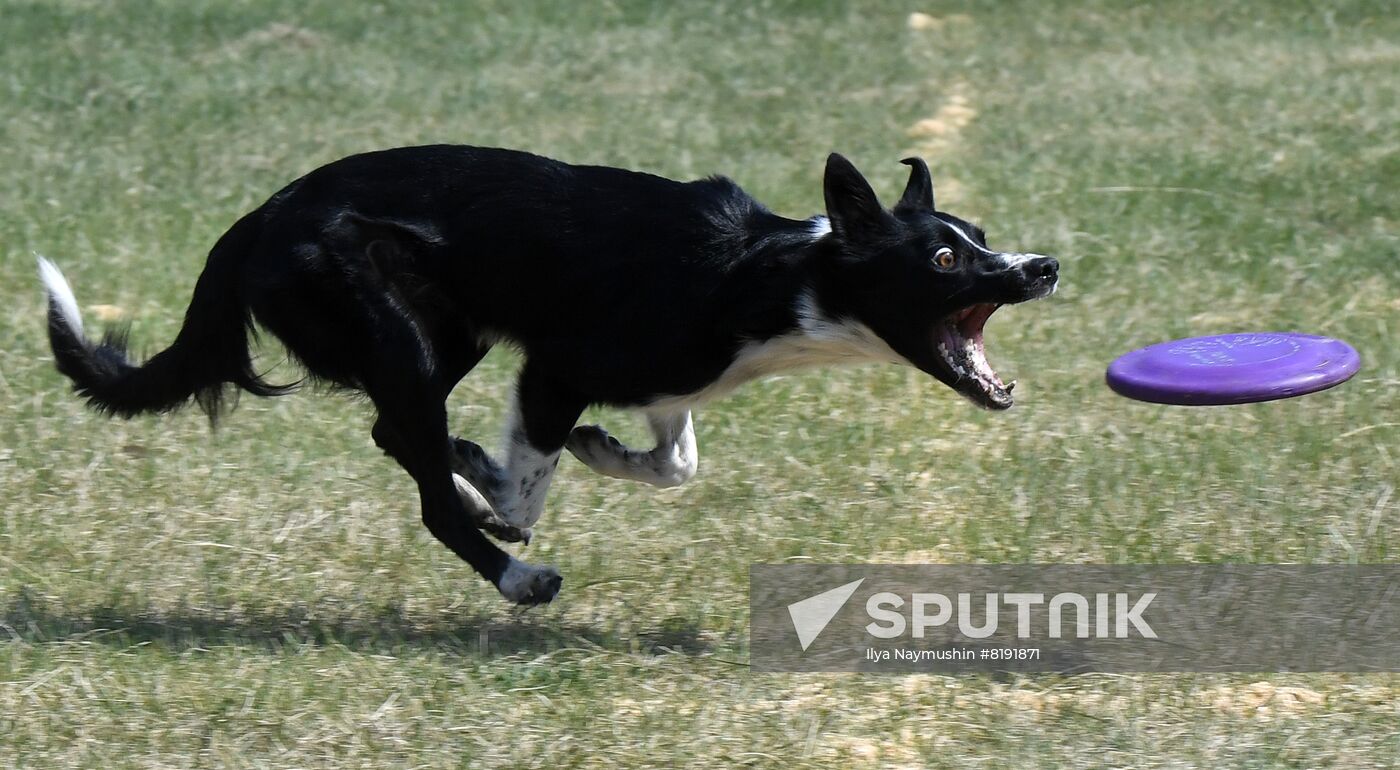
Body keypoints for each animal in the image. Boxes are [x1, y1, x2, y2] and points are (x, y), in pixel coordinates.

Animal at [38, 143, 1052, 604]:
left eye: (982, 237)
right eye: (945, 260)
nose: (1041, 267)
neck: (771, 276)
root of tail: (257, 217)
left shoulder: (662, 386)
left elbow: (673, 462)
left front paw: (596, 451)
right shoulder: (557, 369)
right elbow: (531, 485)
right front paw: (507, 495)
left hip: (447, 333)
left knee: (394, 431)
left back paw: (465, 474)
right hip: (397, 336)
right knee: (425, 488)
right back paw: (512, 572)